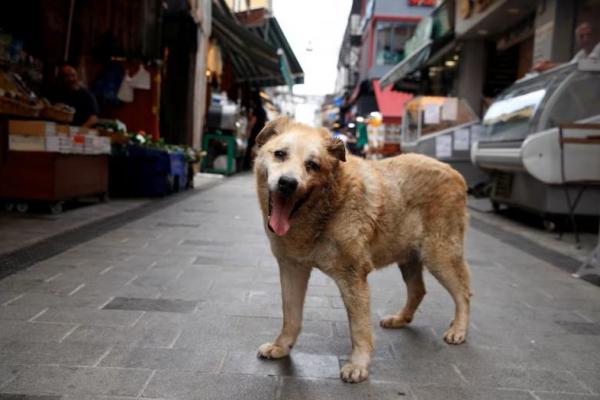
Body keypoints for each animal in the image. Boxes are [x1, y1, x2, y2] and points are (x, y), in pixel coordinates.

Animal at [251, 117, 472, 382]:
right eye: (280, 154)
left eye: (312, 165)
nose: (288, 183)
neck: (327, 208)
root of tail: (454, 172)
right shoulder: (292, 268)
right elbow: (291, 314)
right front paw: (282, 346)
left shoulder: (353, 276)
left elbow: (359, 328)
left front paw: (358, 365)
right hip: (409, 257)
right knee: (418, 290)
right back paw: (400, 319)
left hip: (439, 256)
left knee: (463, 293)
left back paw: (458, 329)